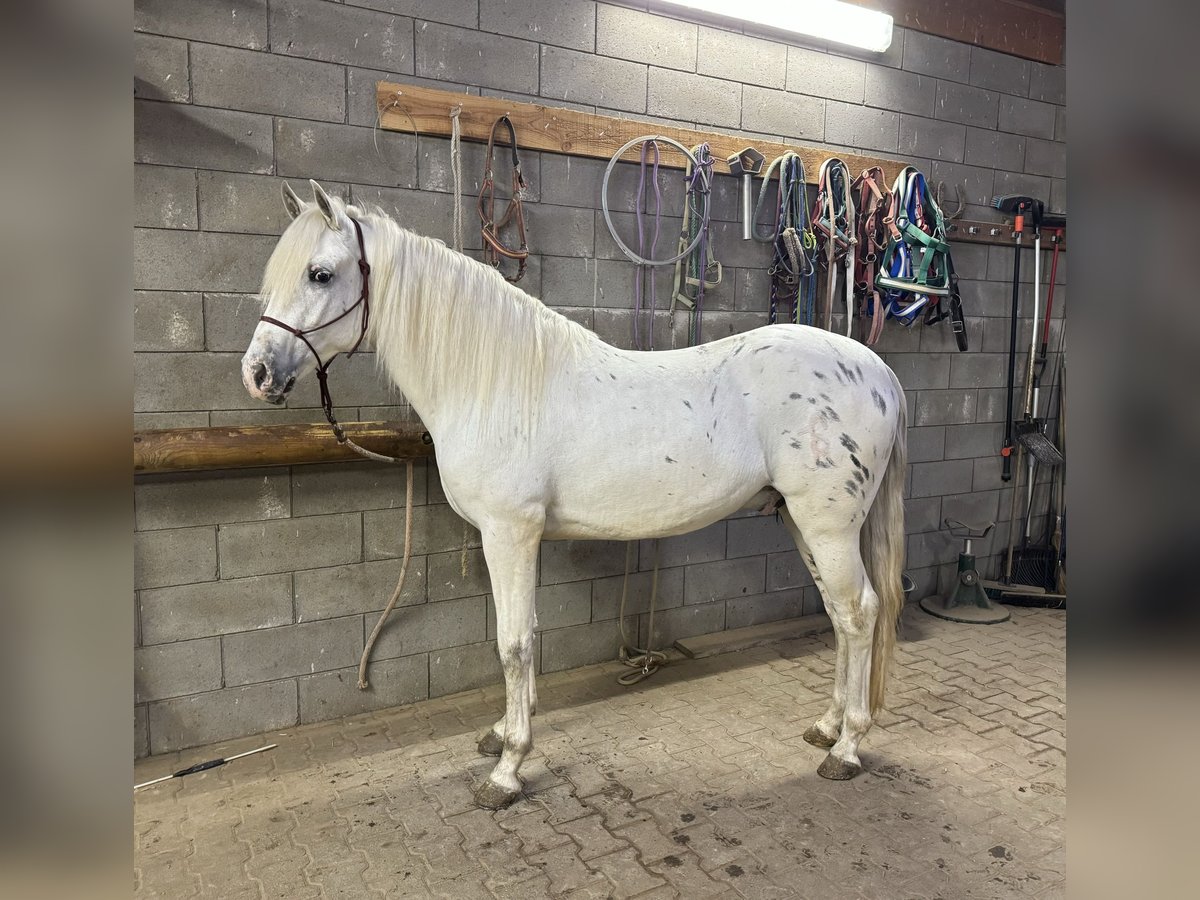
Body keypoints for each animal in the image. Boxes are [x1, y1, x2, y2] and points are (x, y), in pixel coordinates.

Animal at [243, 181, 907, 811]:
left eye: (320, 273)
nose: (257, 374)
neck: (494, 383)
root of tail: (877, 370)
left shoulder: (510, 532)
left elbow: (512, 644)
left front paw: (507, 769)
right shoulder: (517, 538)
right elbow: (524, 635)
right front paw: (503, 733)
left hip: (828, 528)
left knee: (859, 613)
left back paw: (847, 747)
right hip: (800, 522)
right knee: (840, 616)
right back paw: (826, 727)